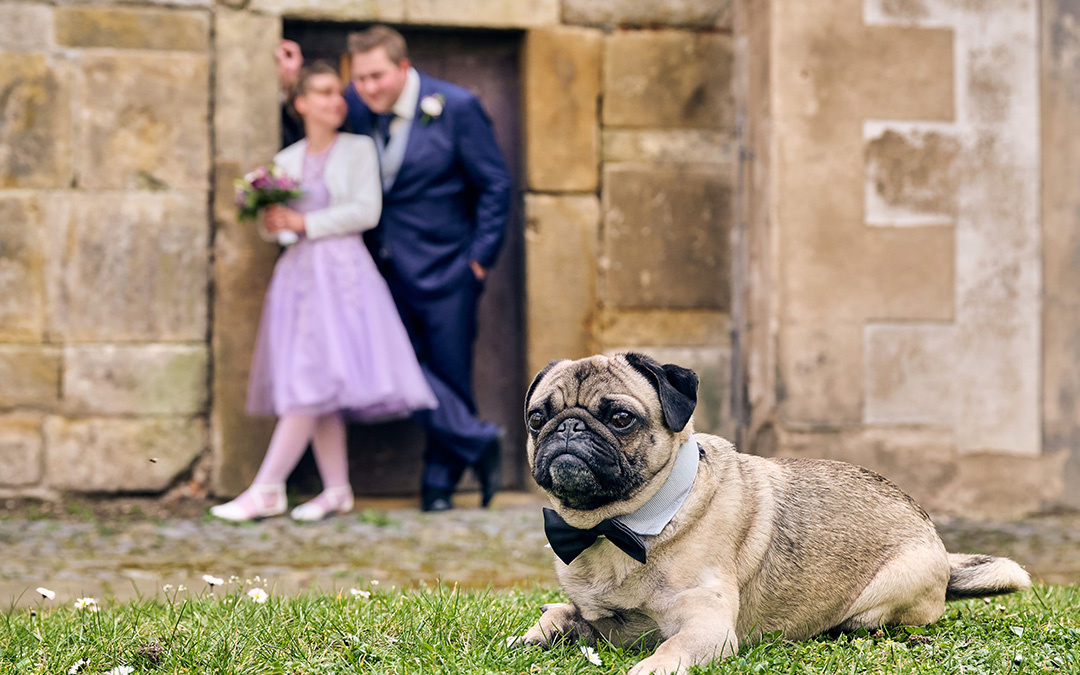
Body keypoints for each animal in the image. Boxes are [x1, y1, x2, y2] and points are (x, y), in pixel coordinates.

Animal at [509, 352, 1032, 673]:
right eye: (537, 418)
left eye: (621, 419)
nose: (568, 427)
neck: (613, 527)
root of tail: (942, 554)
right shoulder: (596, 615)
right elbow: (561, 615)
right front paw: (535, 634)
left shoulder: (707, 628)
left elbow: (667, 651)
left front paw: (650, 665)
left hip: (887, 593)